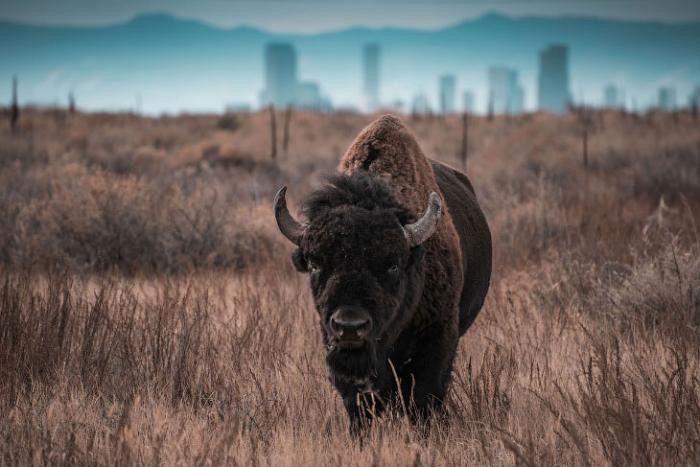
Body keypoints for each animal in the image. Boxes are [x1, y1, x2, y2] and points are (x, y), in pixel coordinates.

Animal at [274, 115, 492, 434]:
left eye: (392, 265)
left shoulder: (438, 338)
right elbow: (359, 404)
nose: (350, 326)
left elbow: (423, 397)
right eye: (315, 264)